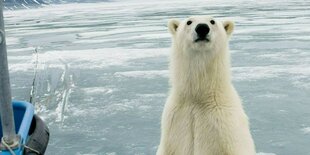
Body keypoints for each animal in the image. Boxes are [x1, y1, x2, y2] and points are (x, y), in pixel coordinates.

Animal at [156, 16, 256, 155]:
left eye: (212, 21)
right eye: (189, 22)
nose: (202, 28)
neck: (199, 97)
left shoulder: (225, 127)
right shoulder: (174, 124)